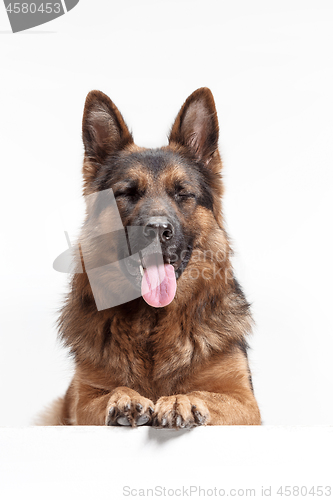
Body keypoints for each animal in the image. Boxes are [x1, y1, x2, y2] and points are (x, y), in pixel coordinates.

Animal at [42, 88, 260, 428]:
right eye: (127, 193)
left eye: (182, 193)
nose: (158, 230)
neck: (153, 322)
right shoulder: (82, 401)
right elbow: (109, 391)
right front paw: (125, 397)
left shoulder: (245, 402)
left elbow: (205, 393)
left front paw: (181, 399)